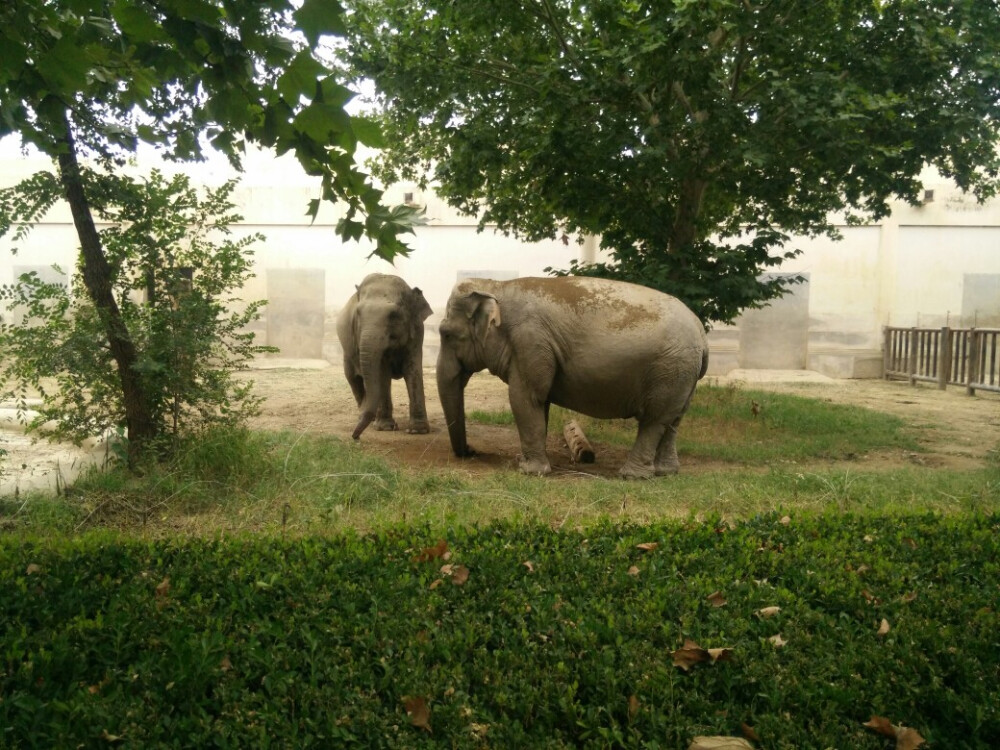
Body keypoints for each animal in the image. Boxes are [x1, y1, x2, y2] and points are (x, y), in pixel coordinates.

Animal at [338, 274, 432, 440]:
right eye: (358, 314)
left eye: (393, 315)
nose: (355, 437)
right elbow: (381, 373)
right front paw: (385, 428)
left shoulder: (417, 332)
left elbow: (413, 370)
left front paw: (418, 431)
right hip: (347, 352)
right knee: (353, 378)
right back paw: (367, 416)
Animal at [434, 278, 708, 482]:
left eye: (445, 334)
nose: (471, 451)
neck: (496, 286)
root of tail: (702, 334)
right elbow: (539, 403)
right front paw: (527, 462)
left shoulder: (530, 340)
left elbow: (525, 398)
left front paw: (529, 471)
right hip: (683, 376)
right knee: (673, 420)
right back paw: (665, 472)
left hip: (670, 370)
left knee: (654, 421)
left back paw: (633, 476)